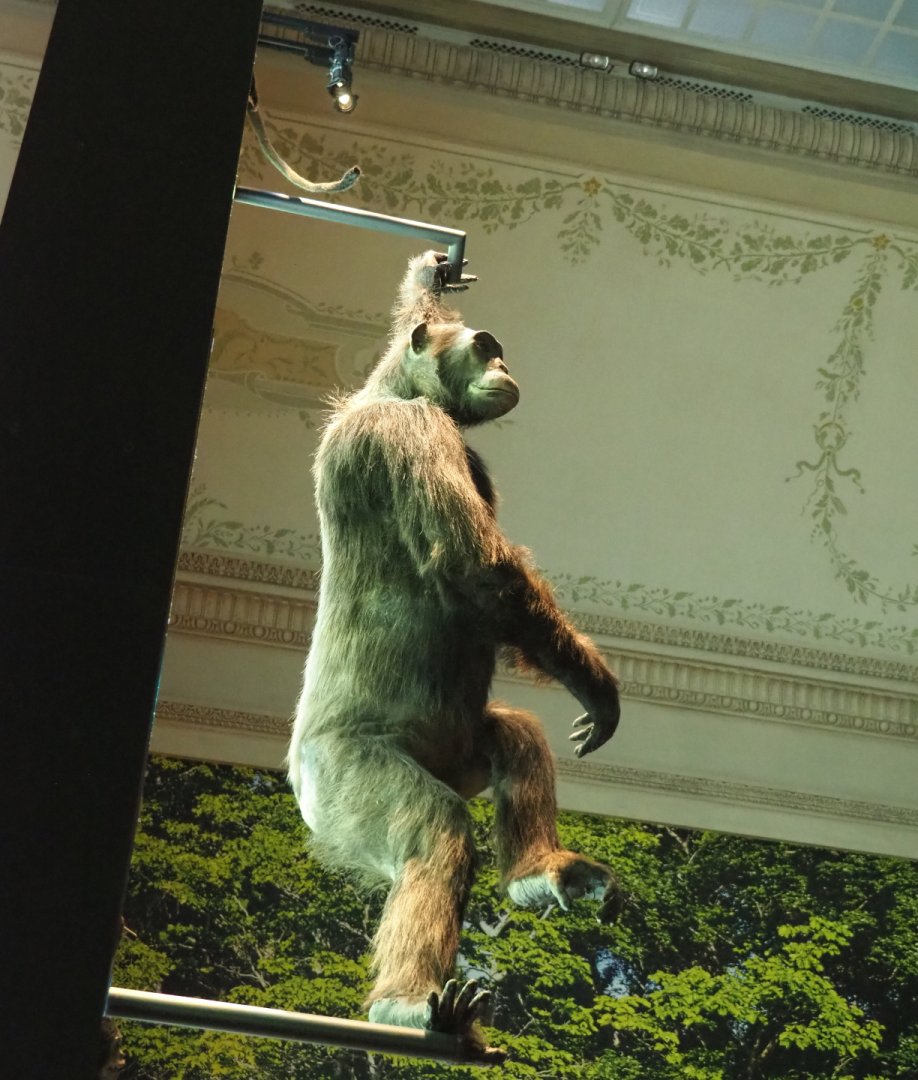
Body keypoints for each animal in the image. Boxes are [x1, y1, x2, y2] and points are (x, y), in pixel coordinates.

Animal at [287, 251, 621, 1061]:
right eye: (486, 346)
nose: (504, 363)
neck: (390, 391)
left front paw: (430, 278)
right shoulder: (413, 432)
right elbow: (481, 570)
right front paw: (596, 685)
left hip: (458, 747)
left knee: (514, 733)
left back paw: (536, 875)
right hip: (343, 786)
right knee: (433, 834)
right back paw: (408, 1008)